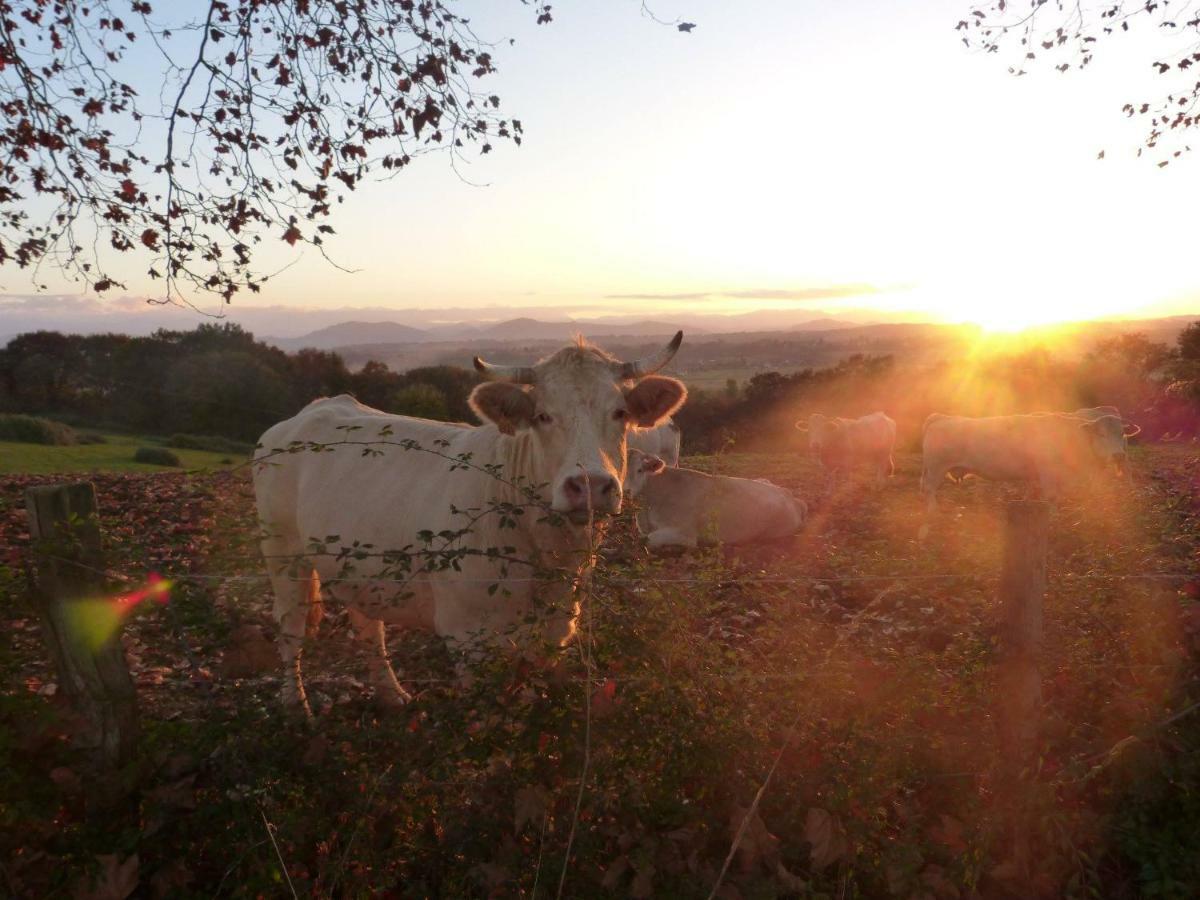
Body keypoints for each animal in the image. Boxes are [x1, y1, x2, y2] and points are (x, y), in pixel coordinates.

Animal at [253, 336, 686, 715]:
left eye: (620, 413)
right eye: (543, 415)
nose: (590, 485)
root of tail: (313, 410)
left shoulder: (554, 629)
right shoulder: (467, 637)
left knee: (368, 626)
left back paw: (391, 694)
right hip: (282, 552)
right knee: (290, 626)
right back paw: (296, 706)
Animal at [921, 412, 1137, 540]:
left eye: (1122, 434)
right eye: (1101, 434)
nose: (1119, 455)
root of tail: (940, 417)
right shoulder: (1048, 472)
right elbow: (1052, 498)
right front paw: (1054, 521)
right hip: (936, 468)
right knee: (929, 490)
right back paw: (933, 513)